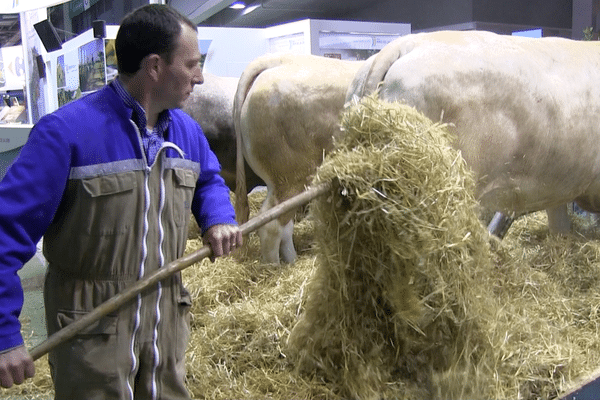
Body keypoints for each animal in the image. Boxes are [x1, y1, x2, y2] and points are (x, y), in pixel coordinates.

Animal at [234, 54, 364, 266]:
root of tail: (273, 60)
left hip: (281, 181)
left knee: (282, 224)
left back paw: (291, 262)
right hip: (291, 176)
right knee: (271, 225)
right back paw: (274, 268)